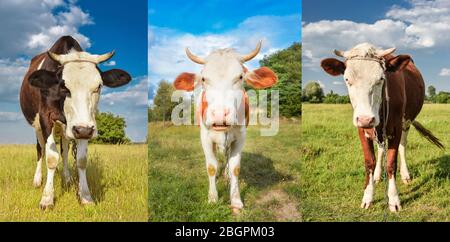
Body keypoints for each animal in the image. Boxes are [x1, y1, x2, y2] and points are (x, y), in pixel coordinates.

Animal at [20, 36, 132, 210]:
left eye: (99, 86)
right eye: (63, 86)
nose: (82, 130)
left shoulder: (85, 124)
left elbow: (81, 160)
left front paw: (85, 196)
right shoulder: (46, 117)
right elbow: (51, 158)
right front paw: (47, 198)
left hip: (67, 128)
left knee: (65, 149)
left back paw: (66, 178)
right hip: (37, 125)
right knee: (40, 149)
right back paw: (37, 180)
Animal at [173, 41, 276, 214]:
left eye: (240, 77)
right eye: (203, 79)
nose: (220, 115)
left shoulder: (240, 137)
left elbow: (235, 168)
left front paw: (236, 201)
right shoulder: (205, 137)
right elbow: (211, 167)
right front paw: (213, 198)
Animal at [320, 43, 442, 212]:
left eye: (381, 79)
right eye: (347, 79)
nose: (366, 118)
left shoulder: (396, 128)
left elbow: (391, 163)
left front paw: (394, 199)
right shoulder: (362, 129)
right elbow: (369, 162)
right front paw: (367, 196)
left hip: (407, 122)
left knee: (403, 146)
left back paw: (405, 175)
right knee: (381, 148)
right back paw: (377, 175)